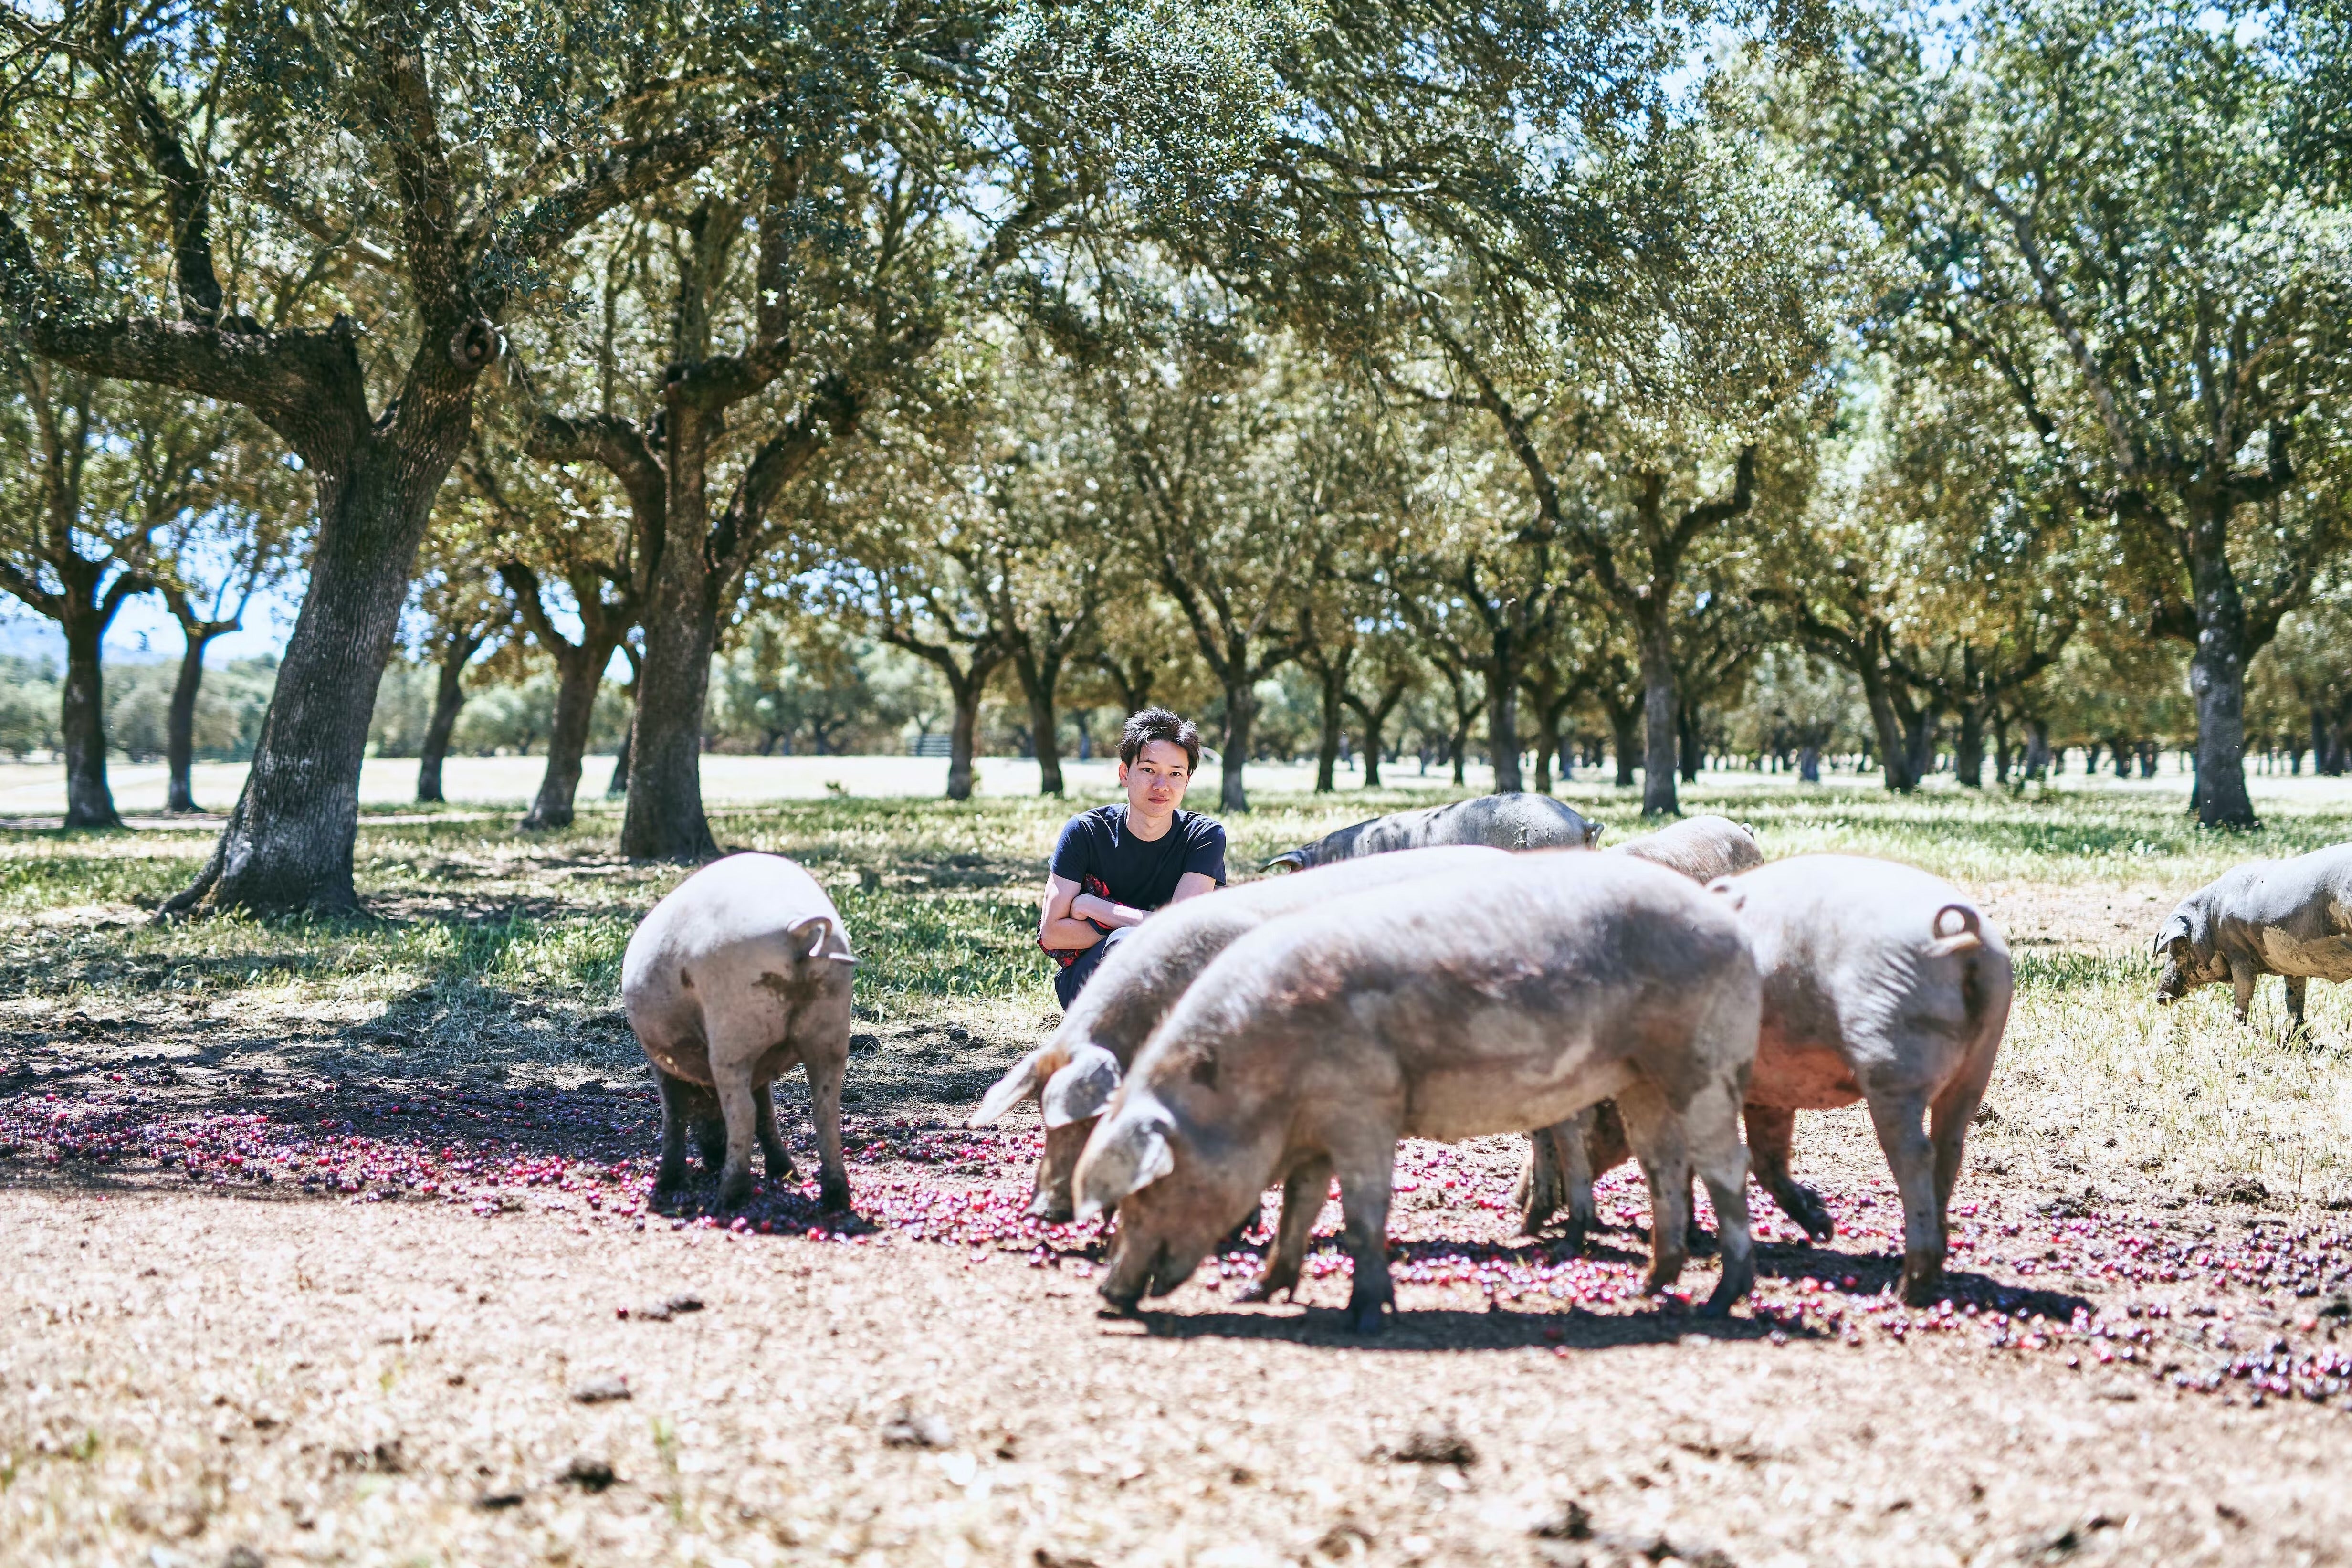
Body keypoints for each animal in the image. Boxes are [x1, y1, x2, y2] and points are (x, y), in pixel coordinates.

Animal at [622, 852, 858, 1211]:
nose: (713, 1157)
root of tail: (796, 928)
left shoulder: (661, 1059)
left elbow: (673, 1114)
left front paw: (666, 1184)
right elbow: (768, 1112)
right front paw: (787, 1175)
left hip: (733, 1035)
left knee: (743, 1113)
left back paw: (727, 1199)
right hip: (830, 1030)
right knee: (826, 1111)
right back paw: (835, 1200)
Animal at [2153, 843, 2352, 1030]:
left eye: (2176, 944)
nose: (2159, 997)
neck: (2211, 916)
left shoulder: (2239, 954)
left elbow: (2243, 993)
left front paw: (2239, 1028)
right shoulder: (2292, 964)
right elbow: (2294, 1000)